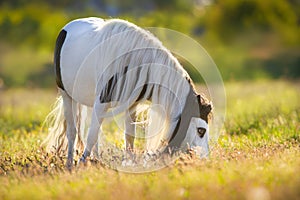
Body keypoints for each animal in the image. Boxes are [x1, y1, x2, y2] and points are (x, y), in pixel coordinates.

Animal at [43, 17, 212, 169]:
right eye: (201, 130)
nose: (205, 160)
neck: (132, 63)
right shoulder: (101, 102)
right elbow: (90, 136)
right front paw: (81, 163)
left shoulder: (132, 105)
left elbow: (129, 136)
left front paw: (129, 163)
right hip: (67, 95)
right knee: (72, 132)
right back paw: (70, 164)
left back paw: (96, 160)